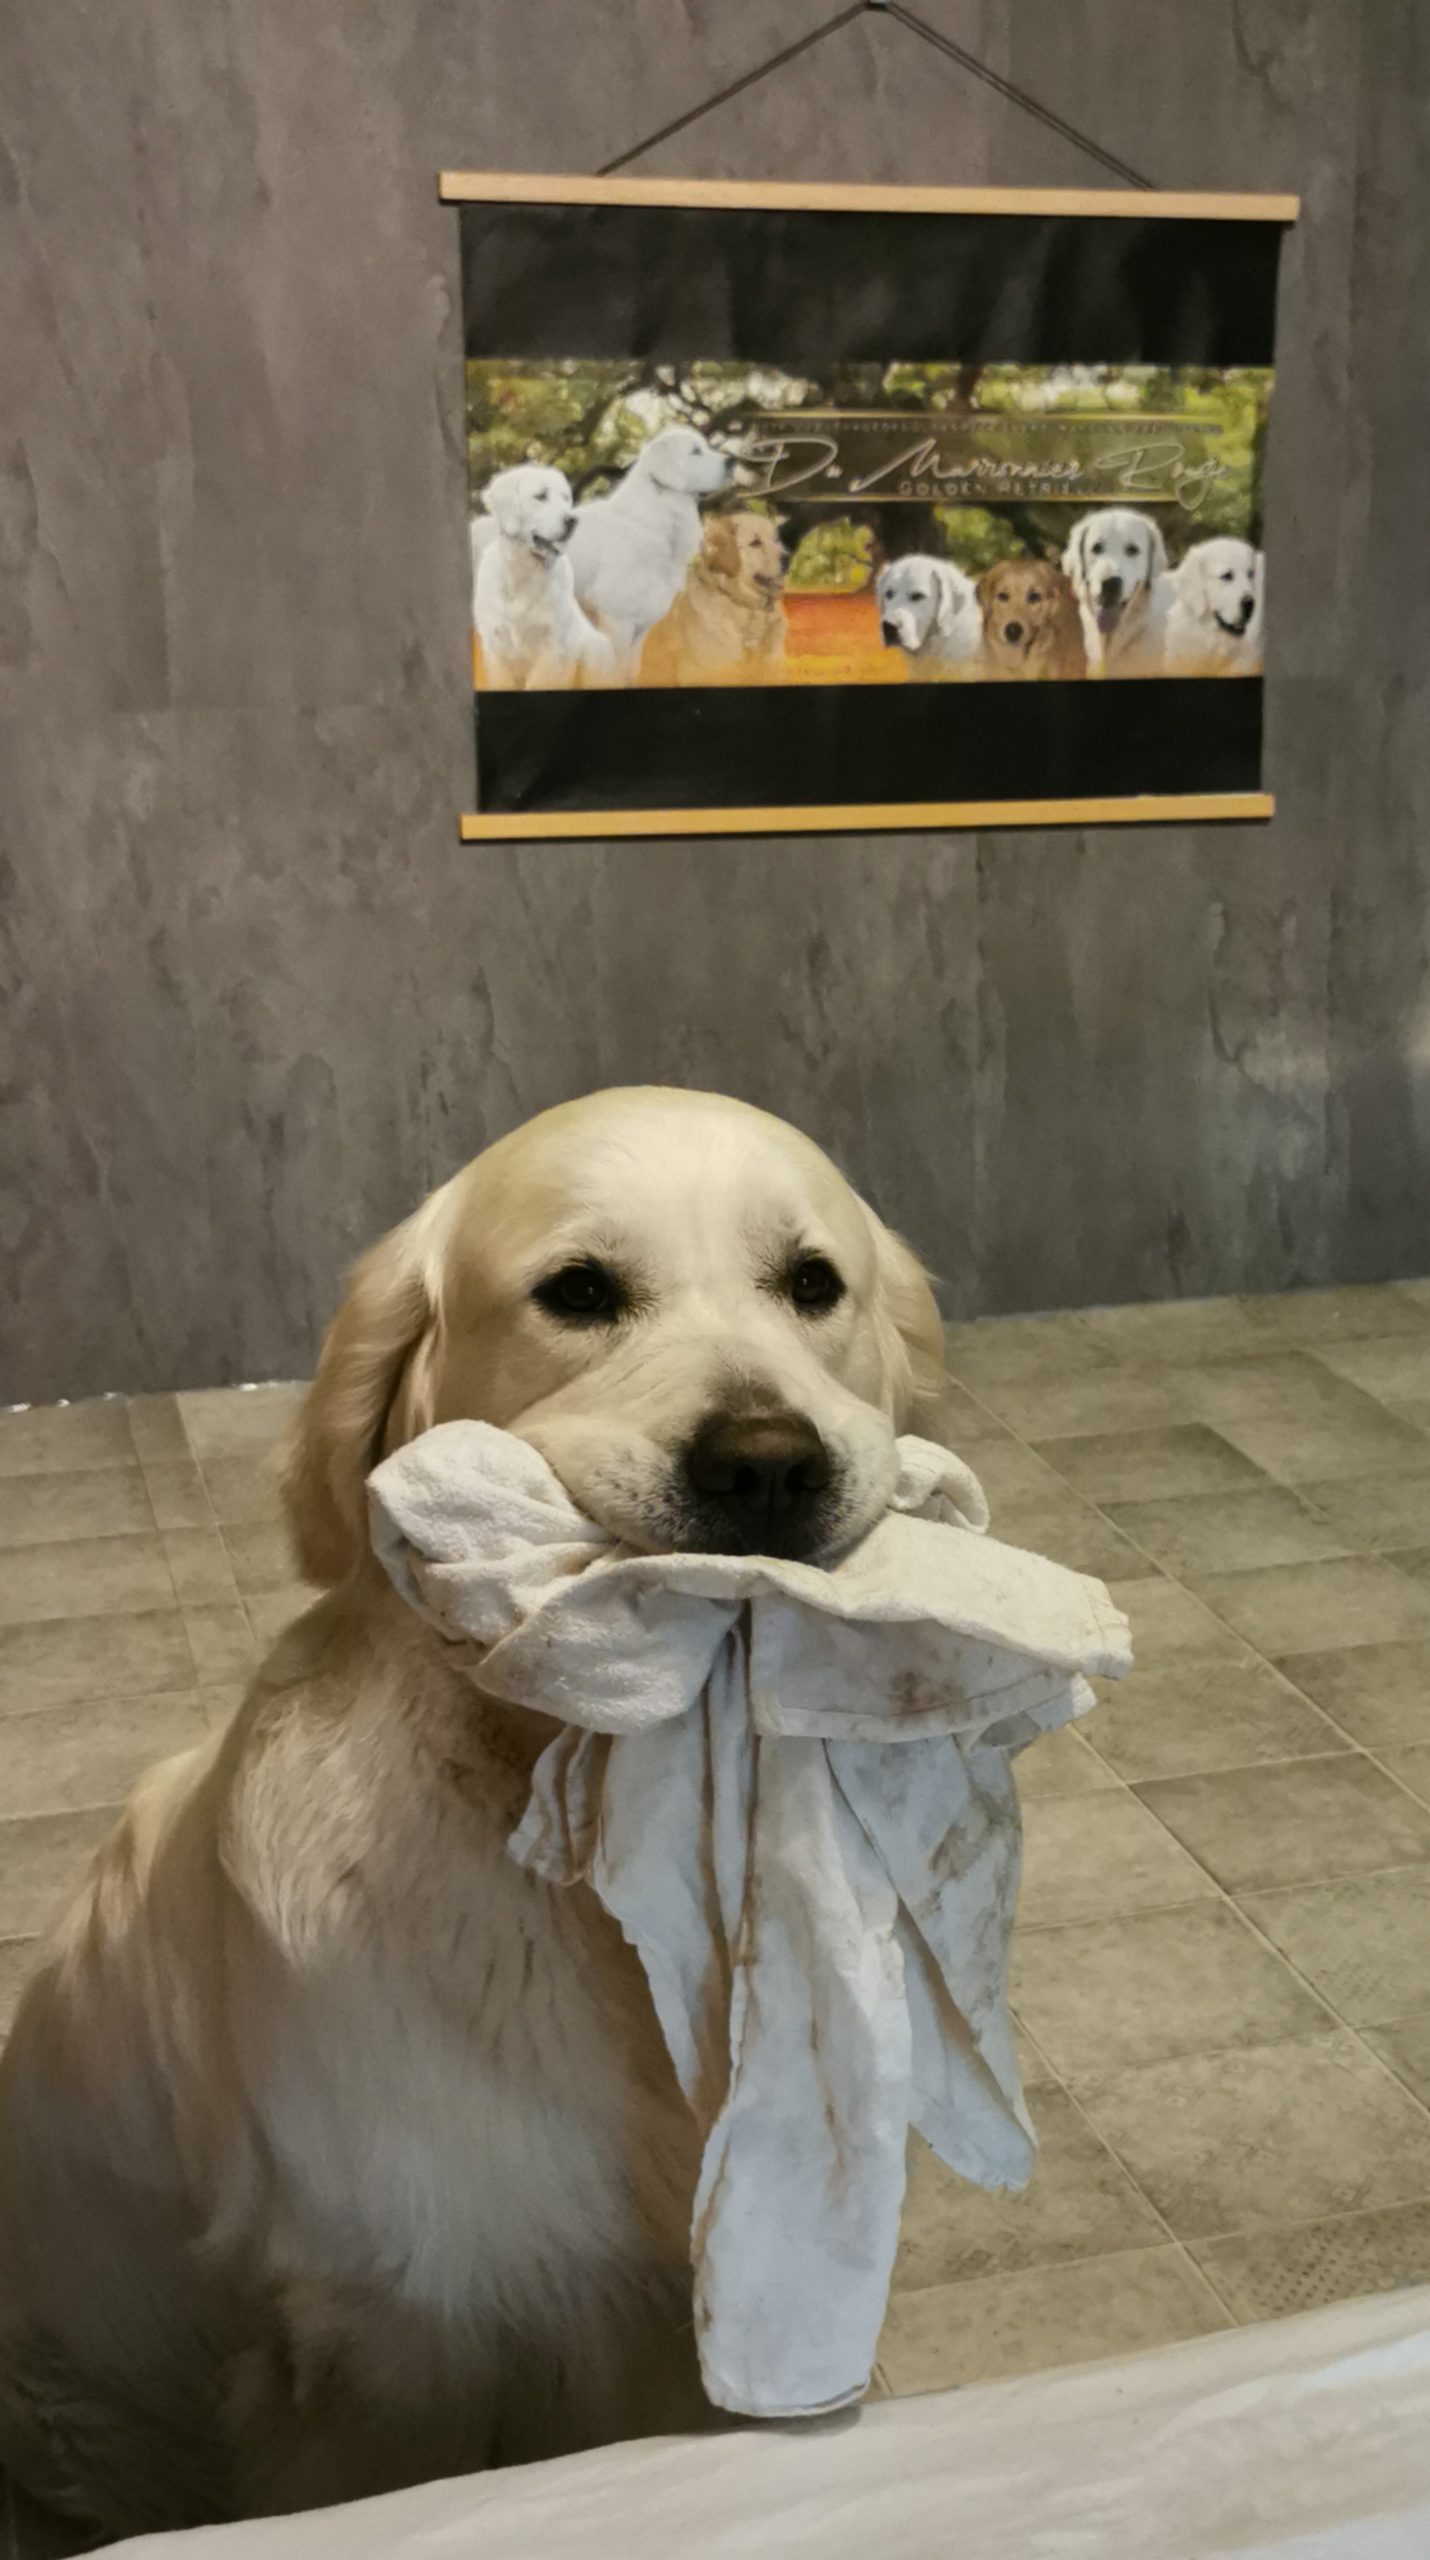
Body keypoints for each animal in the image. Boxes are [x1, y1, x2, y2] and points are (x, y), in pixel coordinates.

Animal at [471, 465, 614, 692]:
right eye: (540, 496)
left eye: (565, 498)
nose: (572, 520)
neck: (523, 575)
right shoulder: (495, 646)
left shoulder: (552, 649)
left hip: (595, 651)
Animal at [567, 428, 734, 677]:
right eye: (696, 451)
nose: (732, 462)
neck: (653, 522)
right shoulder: (618, 619)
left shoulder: (643, 622)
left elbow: (631, 671)